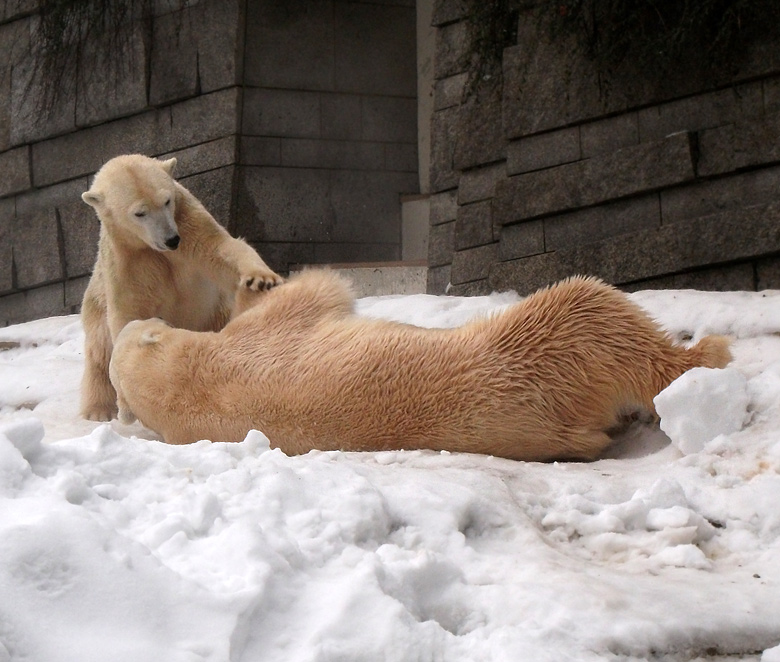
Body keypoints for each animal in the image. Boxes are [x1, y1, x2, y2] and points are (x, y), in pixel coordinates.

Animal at [81, 154, 284, 420]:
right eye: (139, 213)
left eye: (166, 200)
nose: (171, 239)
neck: (149, 247)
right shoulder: (125, 260)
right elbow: (129, 312)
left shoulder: (189, 224)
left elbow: (222, 249)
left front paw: (260, 278)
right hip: (95, 302)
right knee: (99, 349)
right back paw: (98, 410)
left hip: (215, 312)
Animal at [108, 270, 732, 462]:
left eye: (142, 325)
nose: (144, 321)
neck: (182, 387)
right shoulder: (258, 340)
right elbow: (318, 291)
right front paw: (260, 283)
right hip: (539, 352)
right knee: (593, 308)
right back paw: (703, 357)